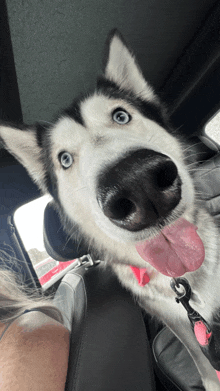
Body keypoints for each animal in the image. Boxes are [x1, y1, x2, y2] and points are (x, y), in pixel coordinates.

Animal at [0, 30, 220, 388]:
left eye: (121, 115)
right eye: (64, 159)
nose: (137, 183)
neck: (184, 279)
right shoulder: (181, 323)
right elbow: (204, 364)